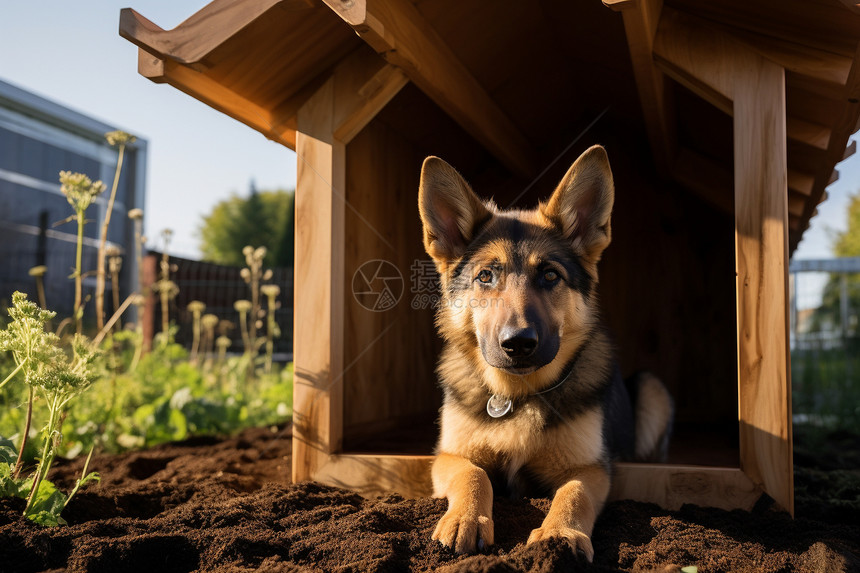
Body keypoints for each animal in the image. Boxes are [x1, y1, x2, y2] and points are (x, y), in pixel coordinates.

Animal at [420, 144, 676, 560]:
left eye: (551, 275)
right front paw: (464, 519)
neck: (517, 396)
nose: (518, 343)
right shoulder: (449, 457)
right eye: (485, 276)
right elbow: (473, 475)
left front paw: (559, 534)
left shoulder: (590, 468)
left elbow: (573, 494)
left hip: (652, 388)